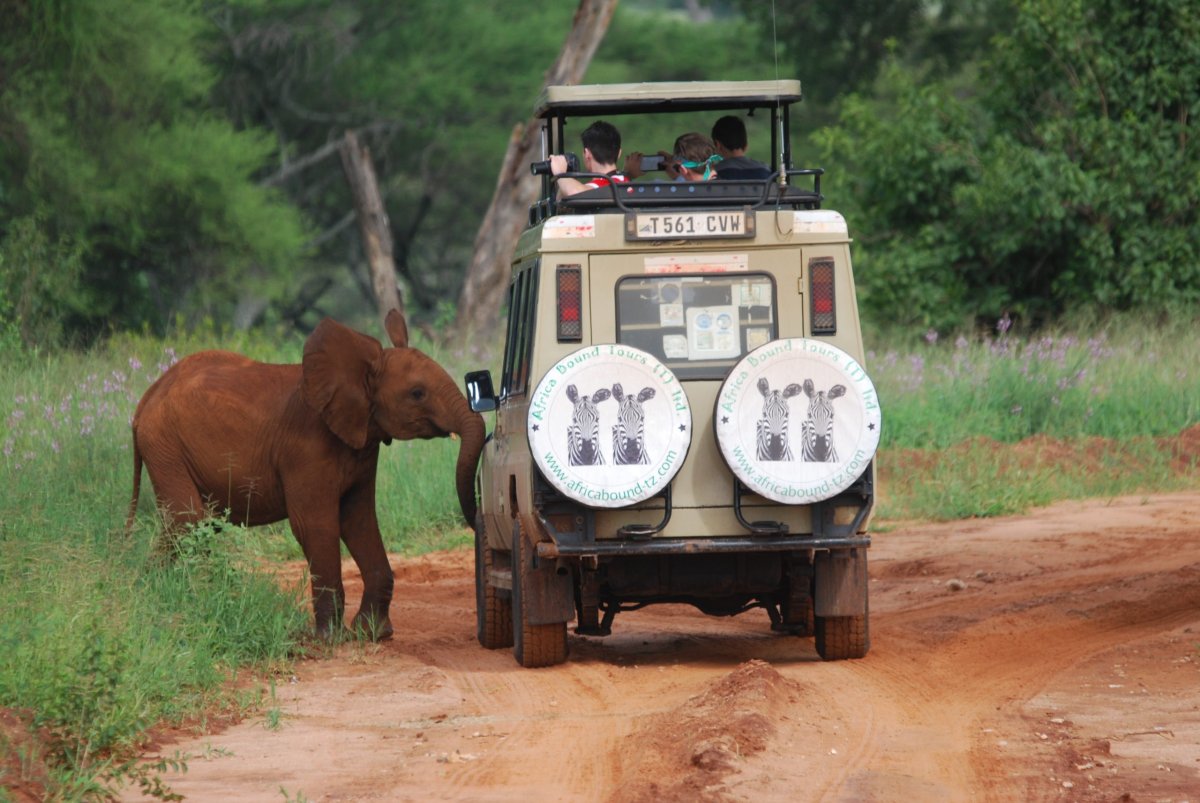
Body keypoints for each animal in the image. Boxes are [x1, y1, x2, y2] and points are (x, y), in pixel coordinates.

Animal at [125, 309, 484, 641]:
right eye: (417, 393)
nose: (475, 518)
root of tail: (145, 399)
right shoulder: (306, 447)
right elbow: (315, 523)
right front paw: (331, 640)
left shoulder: (362, 447)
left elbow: (359, 520)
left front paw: (373, 634)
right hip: (164, 445)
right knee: (188, 521)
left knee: (195, 524)